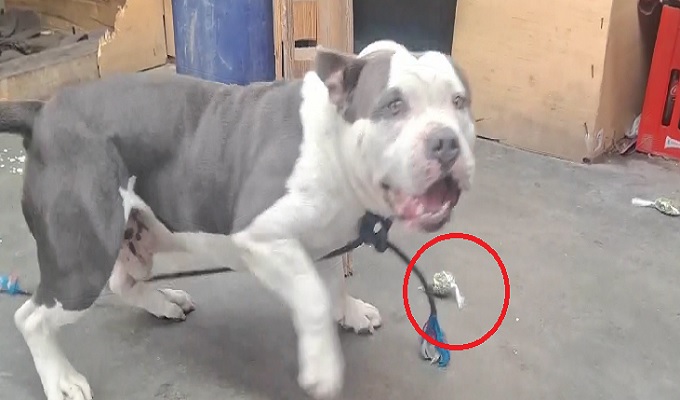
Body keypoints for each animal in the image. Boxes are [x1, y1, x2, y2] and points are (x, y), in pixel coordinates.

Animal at [2, 40, 476, 400]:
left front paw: (349, 311)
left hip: (133, 234)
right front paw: (321, 366)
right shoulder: (262, 236)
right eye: (393, 105)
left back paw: (164, 302)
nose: (445, 141)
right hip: (82, 261)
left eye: (459, 103)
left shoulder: (326, 241)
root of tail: (42, 112)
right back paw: (61, 380)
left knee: (122, 282)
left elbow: (333, 285)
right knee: (31, 318)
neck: (334, 140)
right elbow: (312, 296)